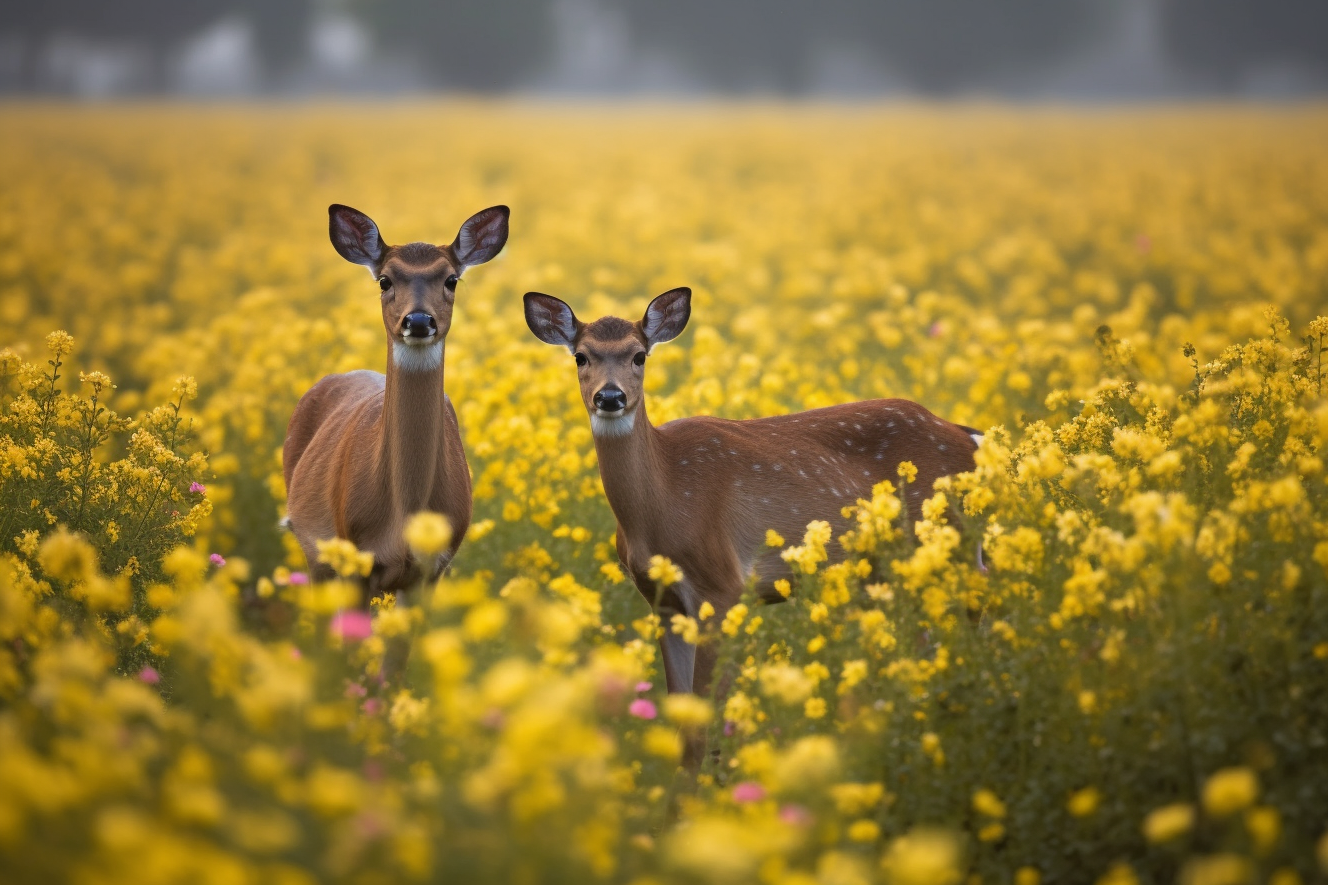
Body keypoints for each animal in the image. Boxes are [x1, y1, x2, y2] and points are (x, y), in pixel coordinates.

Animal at [284, 203, 507, 595]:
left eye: (451, 279)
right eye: (384, 280)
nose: (417, 320)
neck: (404, 514)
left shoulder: (432, 570)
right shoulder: (356, 559)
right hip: (318, 555)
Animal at [523, 285, 982, 706]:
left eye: (639, 356)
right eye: (581, 356)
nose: (610, 396)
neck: (662, 504)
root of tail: (968, 436)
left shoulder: (722, 587)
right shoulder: (662, 603)